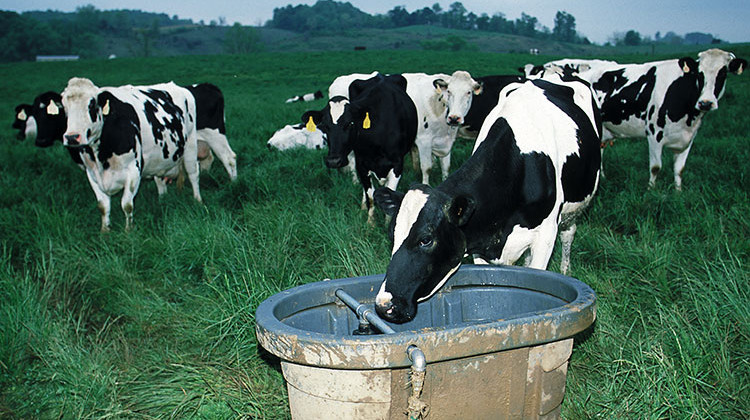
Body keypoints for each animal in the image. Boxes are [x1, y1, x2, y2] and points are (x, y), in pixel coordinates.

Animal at [61, 76, 203, 231]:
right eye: (64, 106)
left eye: (92, 104)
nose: (72, 137)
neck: (101, 156)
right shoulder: (92, 173)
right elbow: (103, 206)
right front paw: (105, 231)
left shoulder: (133, 170)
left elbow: (127, 205)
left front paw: (128, 231)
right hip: (160, 158)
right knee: (160, 181)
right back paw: (162, 202)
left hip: (190, 143)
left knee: (193, 173)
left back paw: (198, 201)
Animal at [302, 73, 420, 223]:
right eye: (325, 126)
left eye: (350, 123)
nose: (333, 161)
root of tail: (380, 75)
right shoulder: (362, 163)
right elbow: (370, 196)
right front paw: (370, 223)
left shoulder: (397, 164)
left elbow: (389, 193)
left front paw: (388, 223)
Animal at [376, 72, 604, 324]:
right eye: (392, 234)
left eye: (426, 239)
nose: (384, 305)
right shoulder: (482, 246)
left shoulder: (546, 233)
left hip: (575, 207)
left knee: (569, 234)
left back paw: (566, 269)